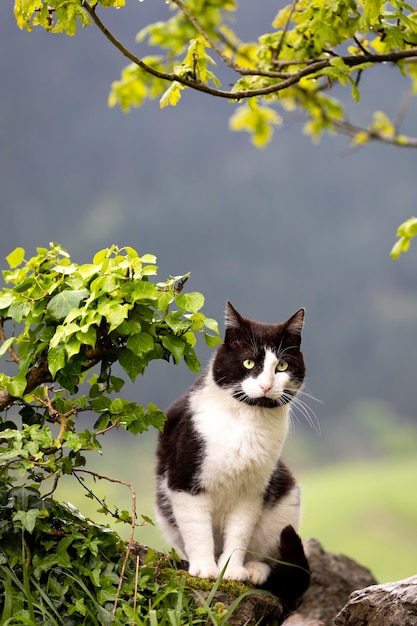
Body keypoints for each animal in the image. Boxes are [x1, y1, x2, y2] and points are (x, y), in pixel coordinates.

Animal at [156, 300, 308, 592]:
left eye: (282, 366)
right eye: (249, 362)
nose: (266, 385)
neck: (247, 421)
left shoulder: (252, 492)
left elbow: (239, 533)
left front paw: (231, 571)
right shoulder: (185, 480)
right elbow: (197, 529)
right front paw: (205, 570)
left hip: (285, 501)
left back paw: (254, 570)